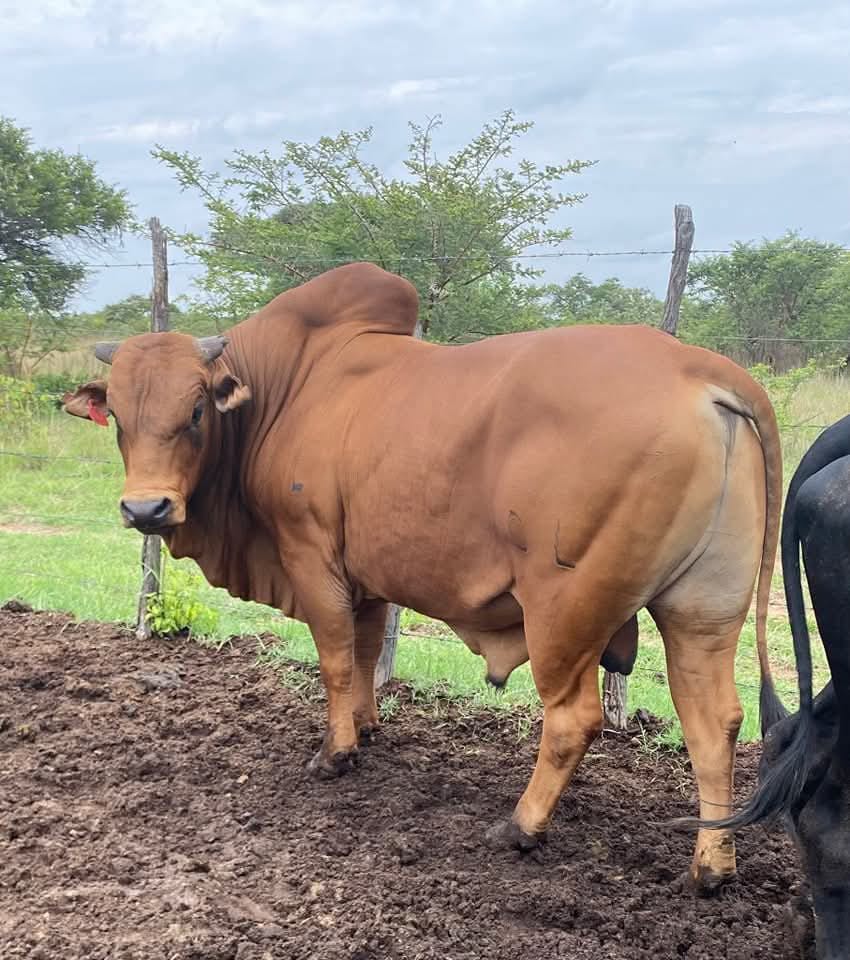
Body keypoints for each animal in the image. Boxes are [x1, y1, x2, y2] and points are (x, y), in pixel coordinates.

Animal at [62, 262, 783, 893]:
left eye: (195, 412)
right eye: (118, 416)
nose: (146, 509)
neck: (288, 387)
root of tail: (698, 366)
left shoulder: (310, 553)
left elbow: (334, 658)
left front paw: (335, 753)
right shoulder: (366, 572)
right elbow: (364, 649)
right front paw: (367, 727)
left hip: (565, 608)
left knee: (574, 718)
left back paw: (521, 826)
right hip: (703, 611)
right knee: (715, 723)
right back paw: (712, 866)